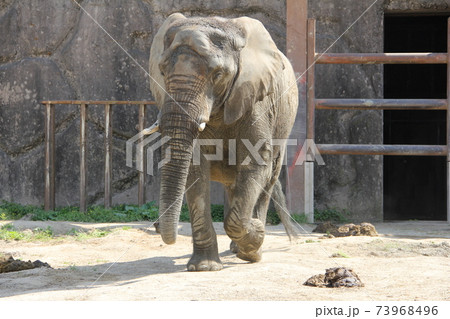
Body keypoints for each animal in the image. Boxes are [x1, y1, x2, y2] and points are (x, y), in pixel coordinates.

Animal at [148, 13, 298, 272]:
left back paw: (250, 246)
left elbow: (256, 163)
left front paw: (255, 239)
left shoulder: (257, 102)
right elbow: (195, 171)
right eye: (163, 72)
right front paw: (204, 267)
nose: (157, 227)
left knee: (266, 181)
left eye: (217, 75)